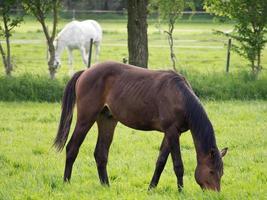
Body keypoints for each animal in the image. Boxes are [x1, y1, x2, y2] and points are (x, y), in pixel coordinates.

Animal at [54, 61, 228, 192]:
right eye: (211, 171)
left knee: (100, 154)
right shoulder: (172, 132)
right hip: (86, 119)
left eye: (221, 173)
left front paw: (151, 188)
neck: (180, 97)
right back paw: (66, 183)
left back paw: (106, 186)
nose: (214, 194)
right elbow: (178, 165)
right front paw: (180, 191)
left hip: (107, 120)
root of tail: (85, 72)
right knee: (72, 148)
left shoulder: (170, 133)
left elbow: (161, 162)